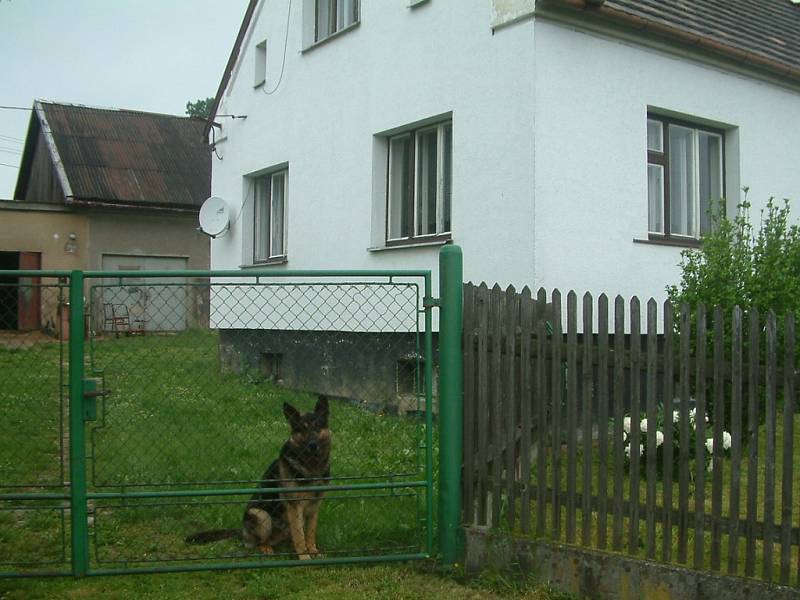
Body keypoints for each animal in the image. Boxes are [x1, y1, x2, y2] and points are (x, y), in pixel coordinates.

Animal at [187, 396, 332, 560]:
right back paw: (266, 549)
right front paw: (304, 557)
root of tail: (241, 530)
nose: (312, 445)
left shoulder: (315, 505)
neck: (311, 466)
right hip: (261, 515)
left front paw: (313, 551)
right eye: (302, 428)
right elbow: (300, 537)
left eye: (318, 427)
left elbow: (310, 533)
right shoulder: (294, 506)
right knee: (258, 543)